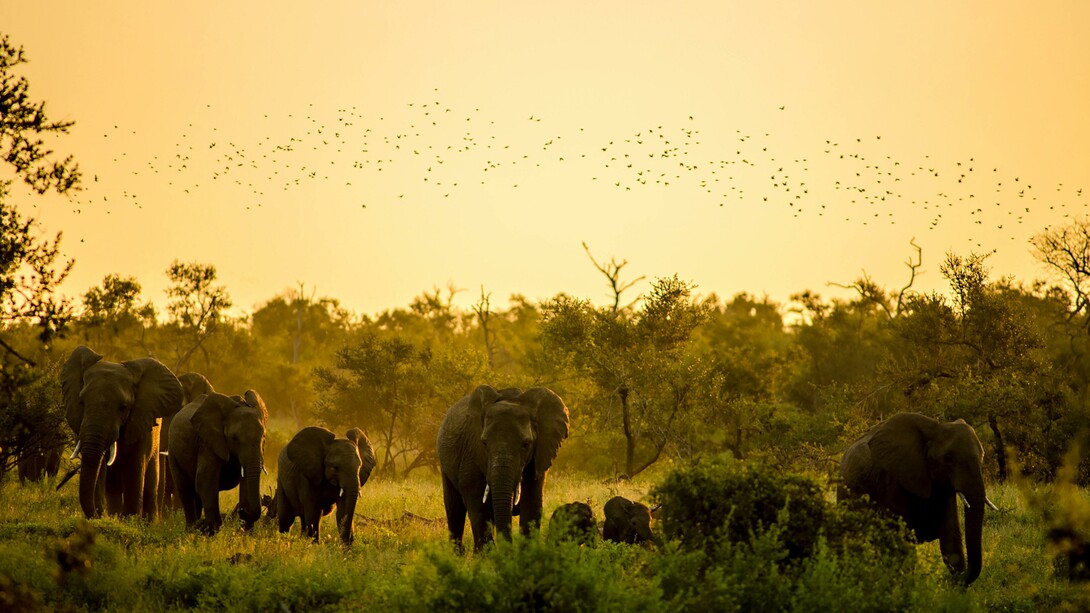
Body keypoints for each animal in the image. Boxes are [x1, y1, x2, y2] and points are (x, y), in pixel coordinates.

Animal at [62, 345, 184, 519]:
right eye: (81, 402)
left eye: (123, 407)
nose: (98, 515)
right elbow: (103, 472)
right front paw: (112, 518)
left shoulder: (140, 422)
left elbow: (135, 469)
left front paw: (130, 520)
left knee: (150, 483)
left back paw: (148, 521)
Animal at [168, 390, 268, 533]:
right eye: (234, 438)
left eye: (263, 436)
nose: (242, 511)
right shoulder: (207, 441)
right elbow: (205, 479)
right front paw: (210, 530)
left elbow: (245, 481)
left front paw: (247, 532)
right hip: (173, 451)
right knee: (185, 489)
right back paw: (192, 529)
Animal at [437, 385, 569, 551]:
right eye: (484, 443)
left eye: (526, 444)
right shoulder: (471, 452)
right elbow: (478, 507)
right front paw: (489, 555)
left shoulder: (538, 456)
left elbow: (532, 505)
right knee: (455, 510)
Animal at [839, 412, 999, 585]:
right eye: (948, 458)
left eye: (982, 455)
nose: (951, 581)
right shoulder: (893, 479)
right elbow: (902, 543)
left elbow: (950, 537)